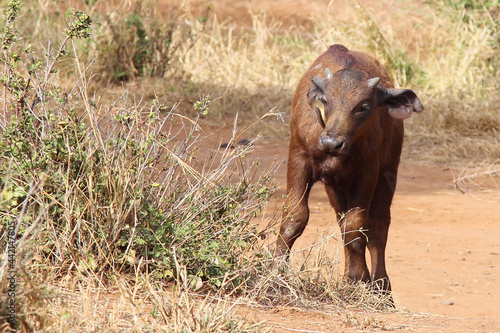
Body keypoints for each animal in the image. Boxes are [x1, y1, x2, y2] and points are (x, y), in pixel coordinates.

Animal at [276, 43, 424, 290]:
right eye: (326, 101)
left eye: (363, 106)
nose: (331, 142)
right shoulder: (298, 159)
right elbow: (294, 216)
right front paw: (274, 267)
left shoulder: (368, 173)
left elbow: (356, 225)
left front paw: (357, 278)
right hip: (336, 187)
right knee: (342, 219)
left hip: (388, 174)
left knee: (378, 225)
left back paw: (382, 286)